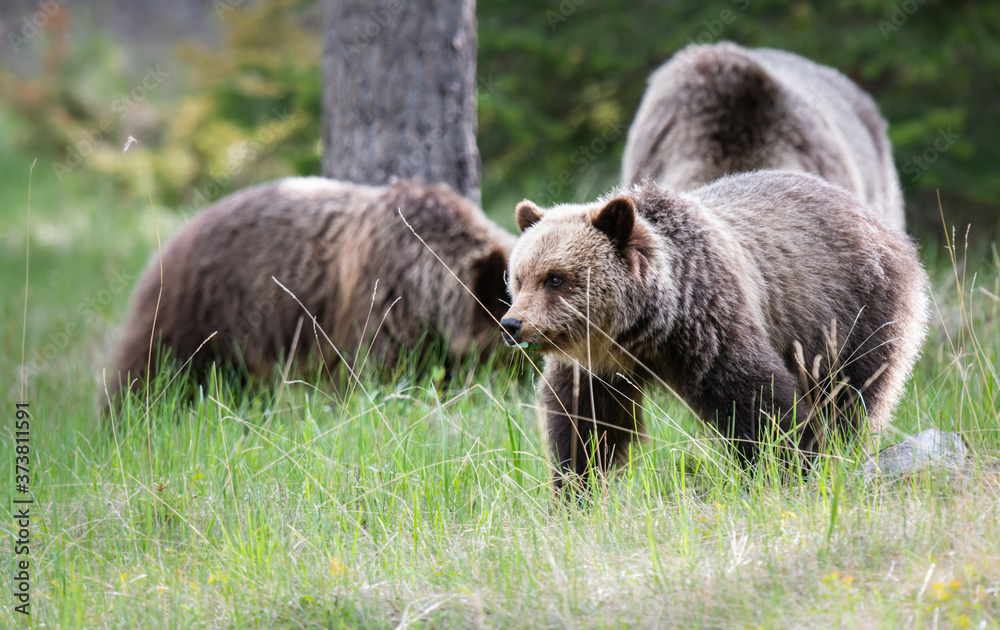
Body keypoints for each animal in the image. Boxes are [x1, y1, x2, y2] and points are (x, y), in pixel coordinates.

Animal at [499, 170, 928, 488]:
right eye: (519, 277)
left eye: (555, 278)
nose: (512, 324)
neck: (644, 331)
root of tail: (880, 222)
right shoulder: (596, 367)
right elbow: (583, 426)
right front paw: (575, 489)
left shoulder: (709, 320)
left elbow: (756, 399)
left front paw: (790, 465)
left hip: (850, 311)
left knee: (852, 392)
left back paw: (845, 446)